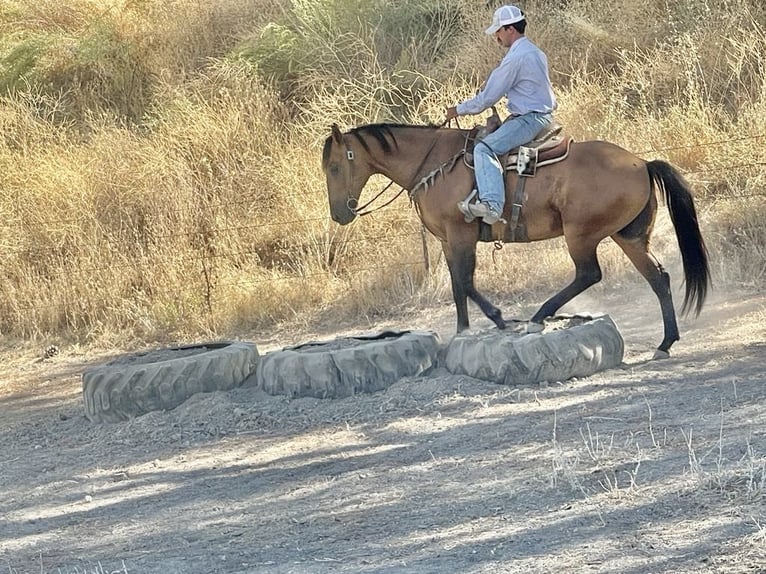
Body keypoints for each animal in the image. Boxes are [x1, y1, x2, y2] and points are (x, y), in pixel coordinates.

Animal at [321, 122, 710, 357]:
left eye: (336, 167)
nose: (340, 214)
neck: (434, 164)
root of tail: (641, 163)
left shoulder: (461, 235)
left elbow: (465, 281)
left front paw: (498, 319)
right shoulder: (448, 241)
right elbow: (458, 285)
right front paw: (464, 330)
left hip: (581, 235)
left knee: (589, 273)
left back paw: (538, 316)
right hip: (629, 236)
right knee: (658, 278)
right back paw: (665, 342)